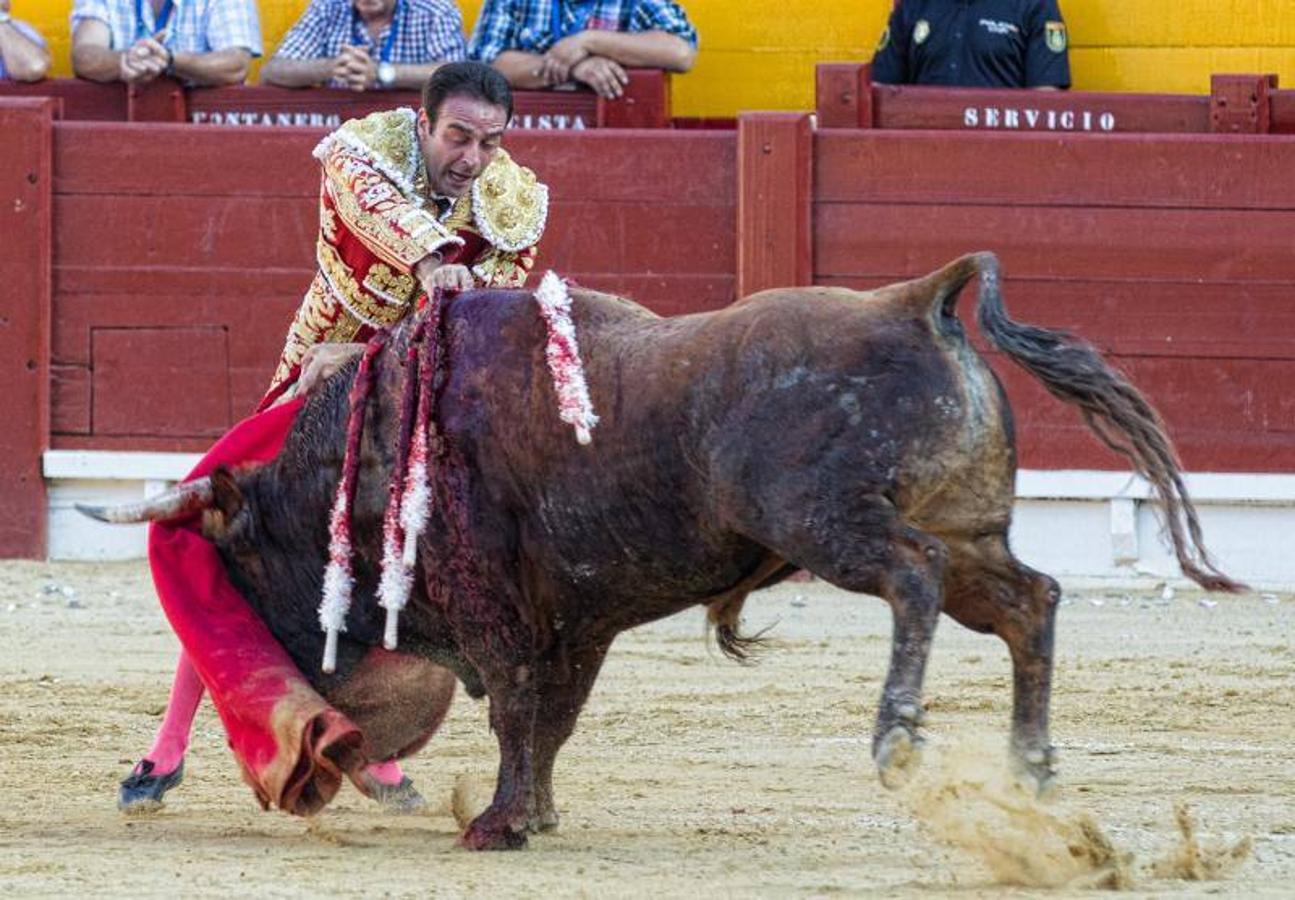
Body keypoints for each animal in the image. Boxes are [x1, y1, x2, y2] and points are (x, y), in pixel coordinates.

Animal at [83, 255, 1243, 849]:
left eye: (236, 565)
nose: (300, 692)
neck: (371, 445)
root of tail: (916, 299)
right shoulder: (578, 615)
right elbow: (549, 719)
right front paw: (533, 815)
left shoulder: (500, 610)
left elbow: (515, 709)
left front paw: (495, 825)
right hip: (967, 533)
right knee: (1030, 602)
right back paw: (1031, 769)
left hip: (832, 527)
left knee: (913, 579)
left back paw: (898, 737)